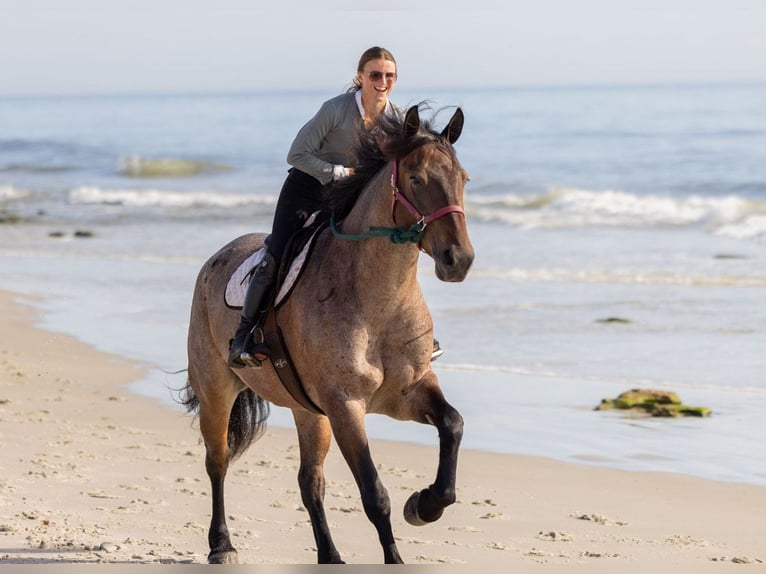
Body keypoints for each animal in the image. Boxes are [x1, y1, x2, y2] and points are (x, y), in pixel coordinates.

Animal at [181, 104, 474, 564]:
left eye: (463, 178)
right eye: (416, 179)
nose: (458, 259)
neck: (379, 299)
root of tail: (217, 257)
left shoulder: (406, 393)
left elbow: (453, 424)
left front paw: (425, 504)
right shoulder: (345, 406)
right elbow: (374, 494)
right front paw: (396, 554)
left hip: (308, 411)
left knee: (309, 481)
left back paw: (330, 556)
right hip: (216, 389)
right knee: (218, 461)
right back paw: (221, 545)